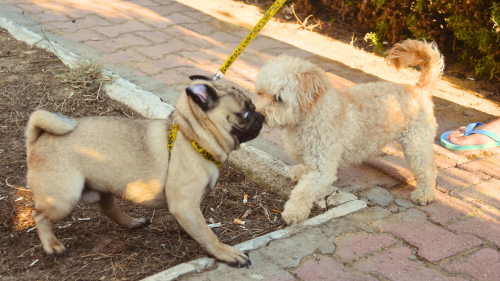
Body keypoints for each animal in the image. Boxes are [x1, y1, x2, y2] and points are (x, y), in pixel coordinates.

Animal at [256, 38, 444, 223]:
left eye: (278, 98)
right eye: (261, 93)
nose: (259, 115)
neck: (311, 116)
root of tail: (419, 89)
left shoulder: (322, 168)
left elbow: (304, 192)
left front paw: (294, 212)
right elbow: (304, 168)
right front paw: (299, 171)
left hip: (416, 143)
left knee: (428, 169)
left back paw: (424, 194)